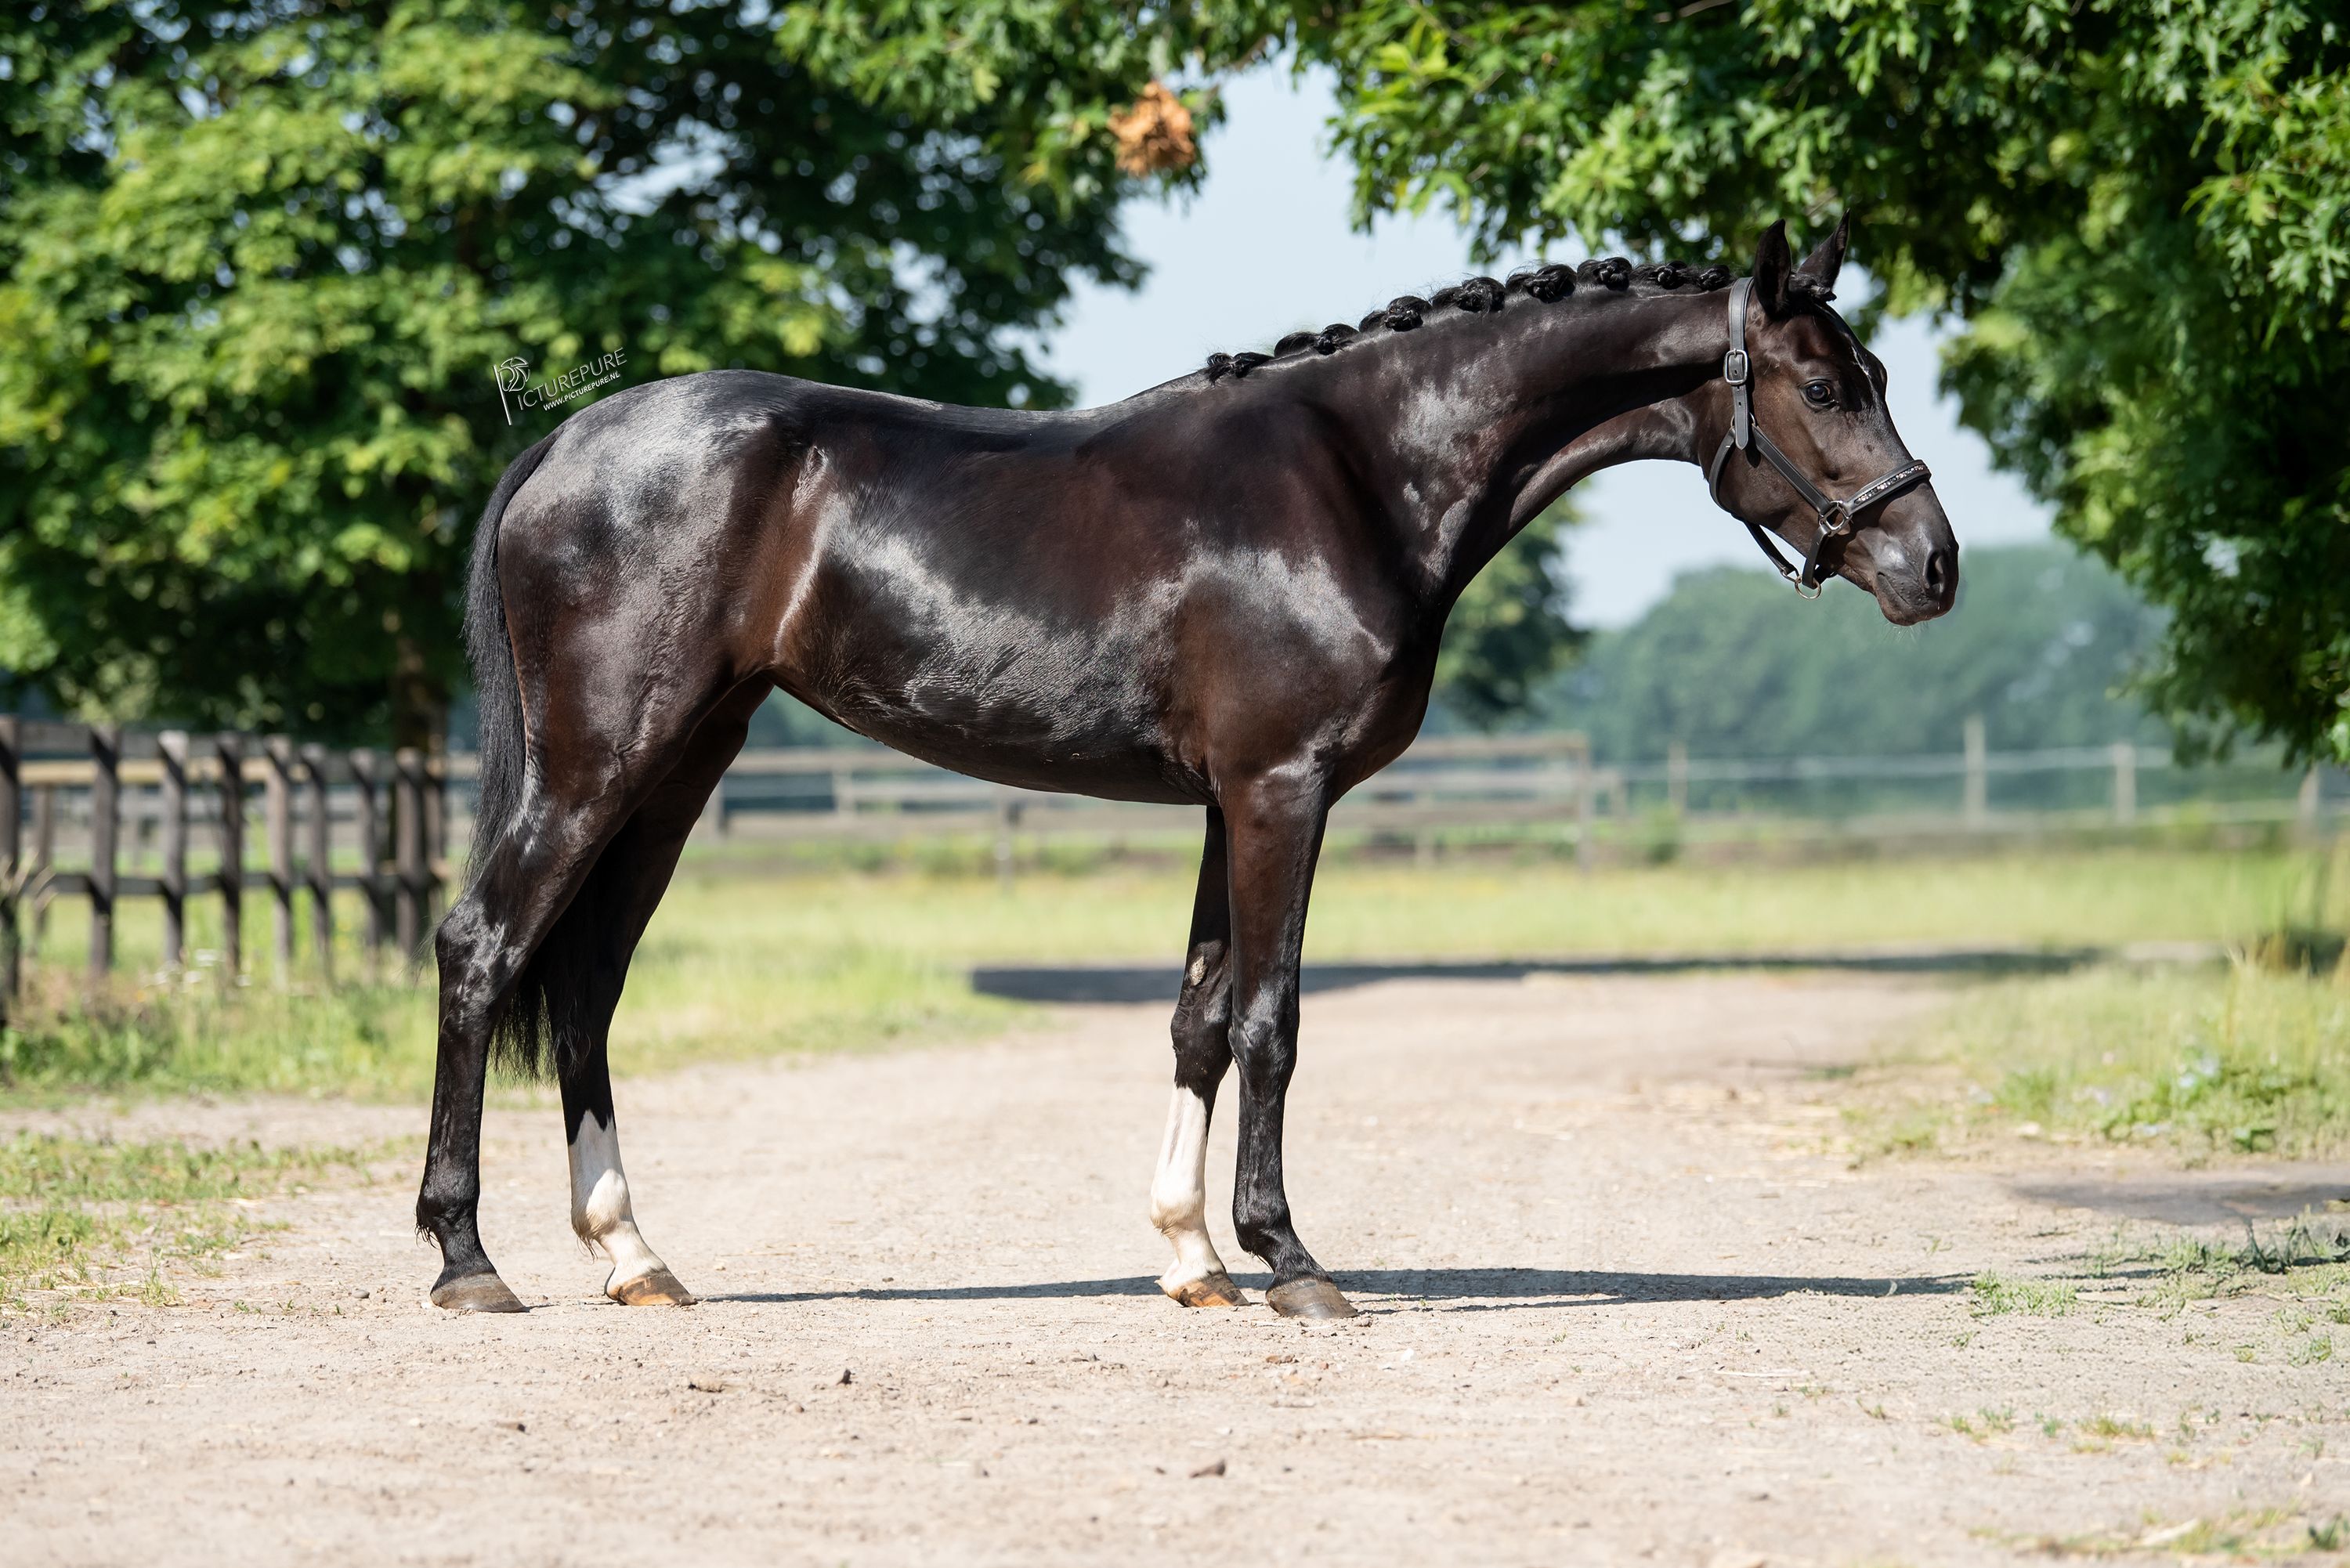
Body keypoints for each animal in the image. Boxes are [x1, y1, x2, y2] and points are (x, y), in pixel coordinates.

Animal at [418, 217, 1957, 1319]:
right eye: (1828, 384)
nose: (1932, 565)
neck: (1360, 474)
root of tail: (564, 443)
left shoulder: (1230, 801)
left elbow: (1199, 1018)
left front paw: (1191, 1256)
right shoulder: (1283, 789)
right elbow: (1273, 1016)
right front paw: (1293, 1262)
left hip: (677, 770)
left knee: (586, 987)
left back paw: (634, 1255)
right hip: (601, 762)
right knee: (484, 946)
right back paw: (466, 1258)